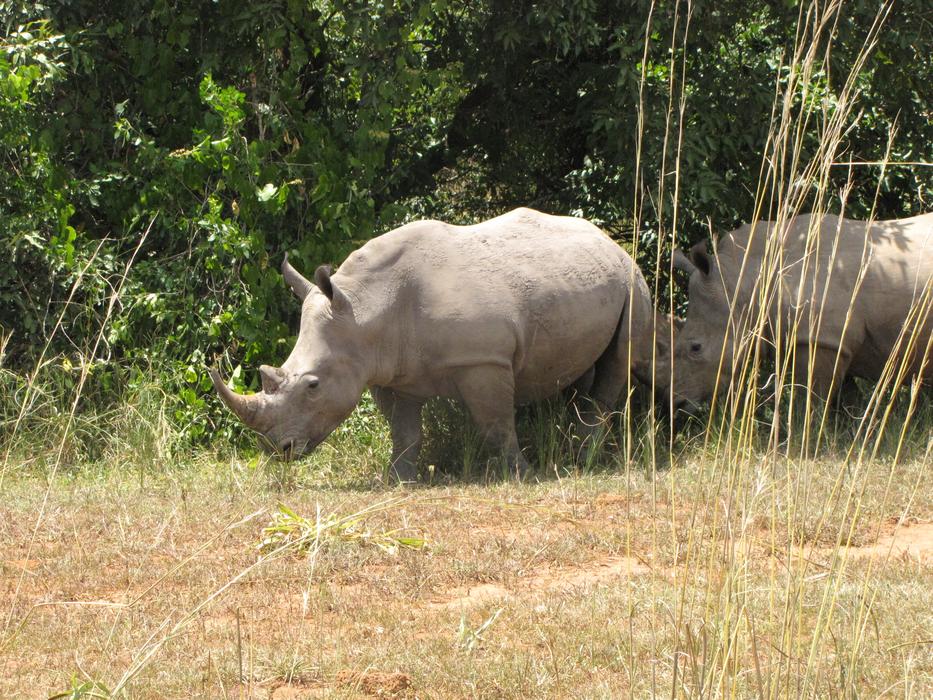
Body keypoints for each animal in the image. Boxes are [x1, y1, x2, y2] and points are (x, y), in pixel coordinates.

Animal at [211, 207, 654, 481]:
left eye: (313, 386)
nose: (277, 449)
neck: (364, 309)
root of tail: (608, 239)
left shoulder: (483, 360)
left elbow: (496, 424)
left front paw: (520, 475)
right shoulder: (386, 369)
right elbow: (404, 431)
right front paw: (397, 480)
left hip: (633, 280)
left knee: (620, 359)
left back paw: (583, 460)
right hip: (584, 280)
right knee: (581, 366)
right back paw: (573, 452)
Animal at [670, 211, 933, 413]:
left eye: (696, 348)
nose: (673, 404)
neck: (742, 281)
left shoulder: (822, 338)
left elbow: (812, 395)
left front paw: (804, 433)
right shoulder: (838, 340)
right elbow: (844, 394)